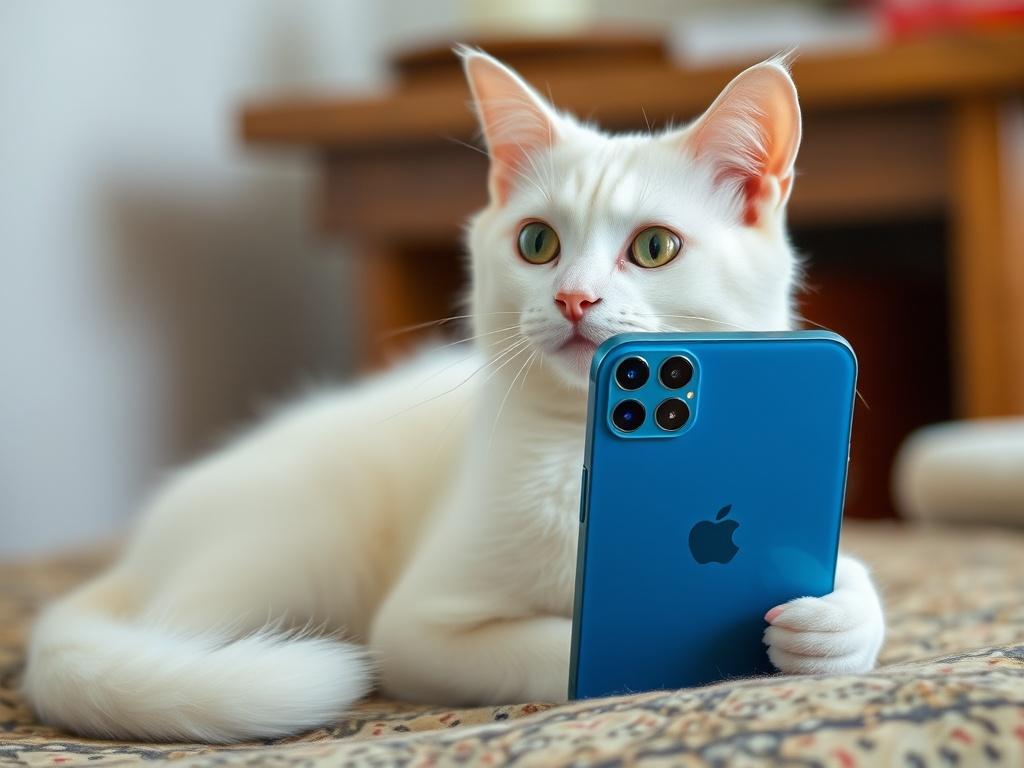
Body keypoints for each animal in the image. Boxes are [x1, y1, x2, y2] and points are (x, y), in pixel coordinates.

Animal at [25, 49, 888, 745]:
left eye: (654, 247)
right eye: (537, 242)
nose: (573, 298)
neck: (574, 446)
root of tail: (142, 549)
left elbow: (857, 584)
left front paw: (832, 628)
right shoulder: (419, 625)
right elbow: (553, 646)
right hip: (301, 537)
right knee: (174, 641)